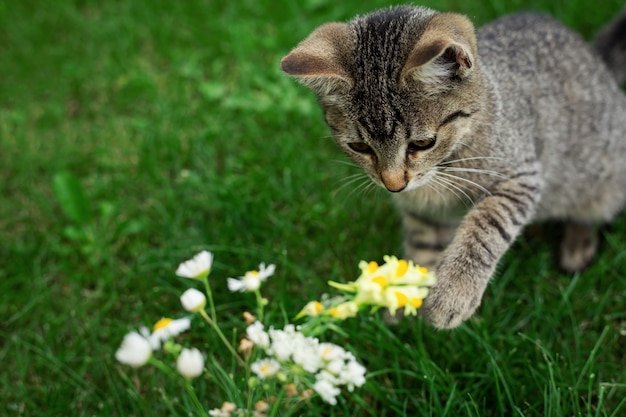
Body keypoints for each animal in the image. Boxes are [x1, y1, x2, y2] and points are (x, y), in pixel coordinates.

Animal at [280, 4, 624, 326]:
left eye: (422, 143)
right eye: (360, 147)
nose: (393, 184)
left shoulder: (521, 176)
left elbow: (487, 225)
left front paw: (454, 291)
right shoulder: (421, 212)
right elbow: (421, 247)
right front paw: (406, 295)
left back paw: (577, 244)